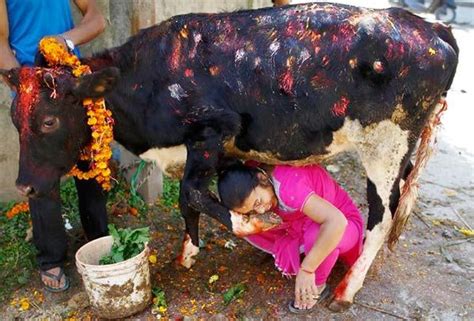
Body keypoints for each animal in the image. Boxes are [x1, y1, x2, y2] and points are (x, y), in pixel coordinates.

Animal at [1, 3, 458, 310]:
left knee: (382, 216)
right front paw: (188, 251)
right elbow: (190, 200)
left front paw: (250, 223)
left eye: (47, 121)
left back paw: (347, 289)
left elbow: (191, 193)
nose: (24, 186)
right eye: (14, 118)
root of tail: (429, 26)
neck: (151, 79)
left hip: (387, 146)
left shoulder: (213, 129)